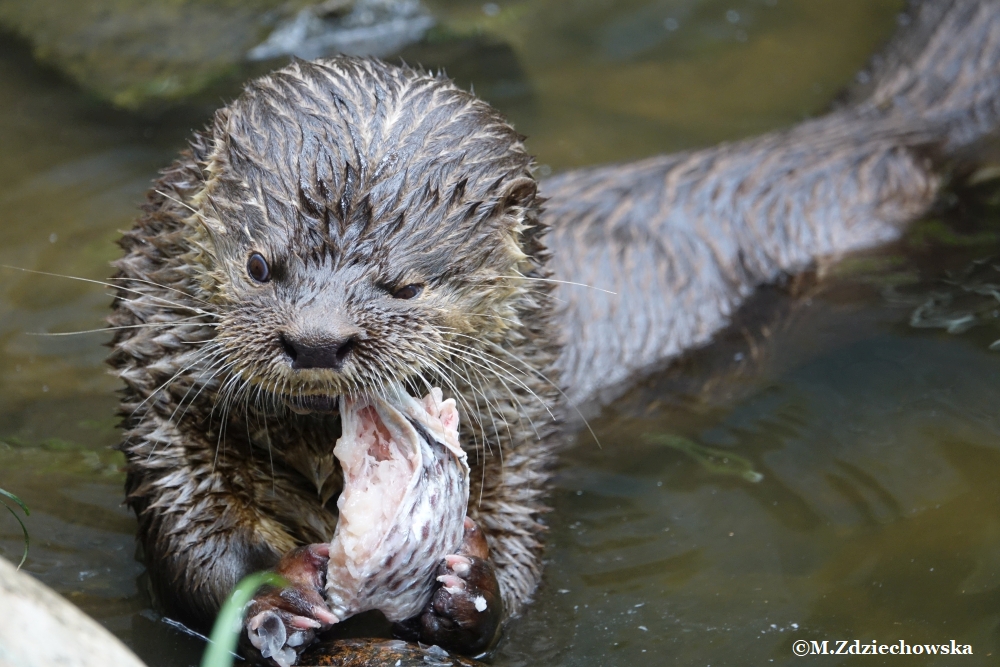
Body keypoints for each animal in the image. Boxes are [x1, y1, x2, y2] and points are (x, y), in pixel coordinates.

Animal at [105, 1, 1000, 664]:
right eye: (261, 264)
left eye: (407, 284)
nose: (318, 340)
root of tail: (878, 127)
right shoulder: (162, 411)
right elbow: (188, 543)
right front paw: (275, 590)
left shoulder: (524, 423)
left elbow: (521, 558)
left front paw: (470, 584)